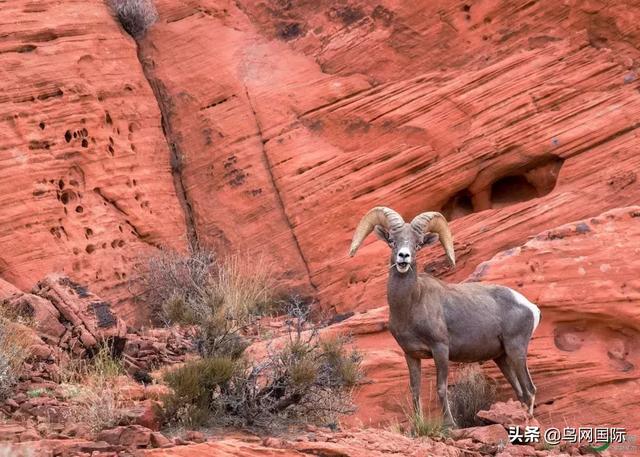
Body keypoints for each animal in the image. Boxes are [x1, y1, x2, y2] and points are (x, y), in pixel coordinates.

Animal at [350, 208, 540, 428]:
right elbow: (415, 390)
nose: (403, 257)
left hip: (516, 350)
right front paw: (417, 424)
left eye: (418, 244)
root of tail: (530, 307)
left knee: (529, 390)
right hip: (501, 357)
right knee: (520, 391)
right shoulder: (411, 354)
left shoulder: (440, 349)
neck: (411, 305)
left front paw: (450, 424)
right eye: (392, 241)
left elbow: (441, 388)